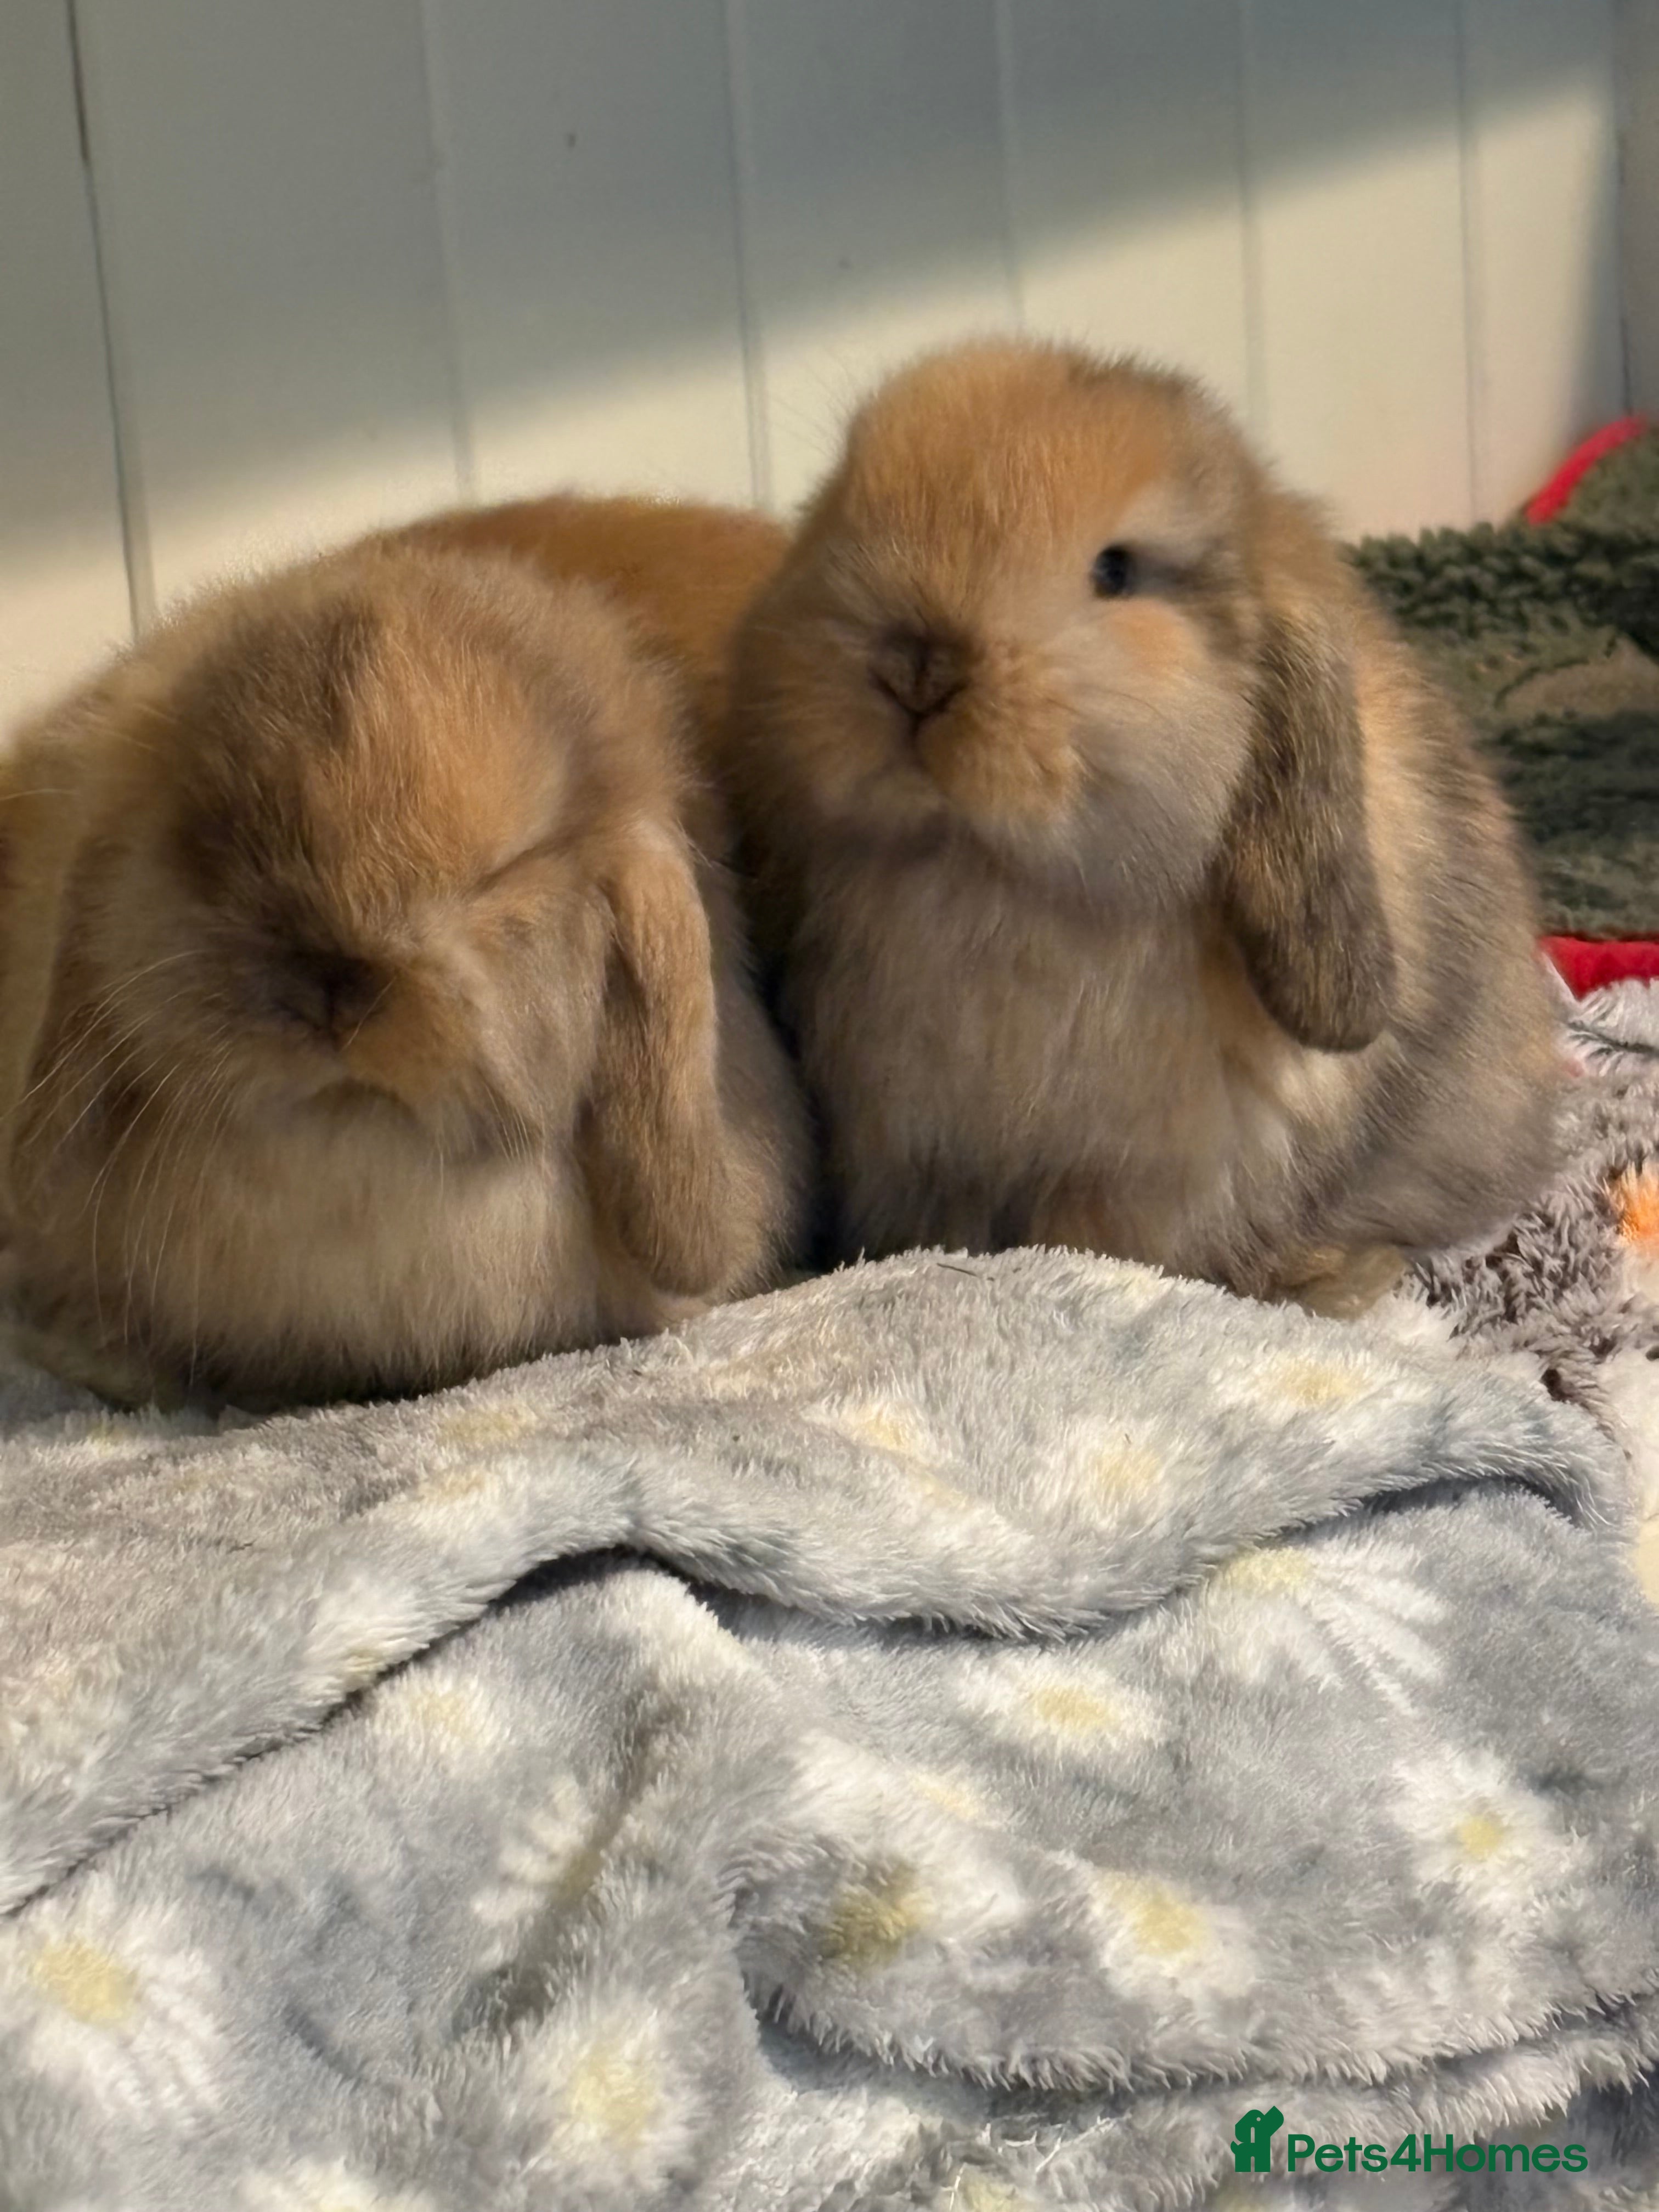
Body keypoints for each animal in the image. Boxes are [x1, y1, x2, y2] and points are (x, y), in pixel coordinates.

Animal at [721, 338, 1560, 1312]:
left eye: (1115, 571)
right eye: (838, 503)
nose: (916, 668)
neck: (989, 877)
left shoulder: (1153, 1182)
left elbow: (1107, 1247)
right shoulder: (916, 1156)